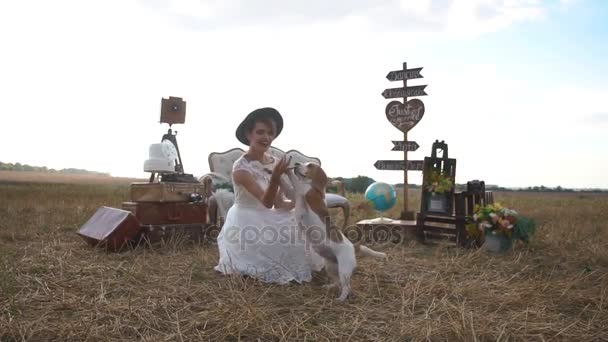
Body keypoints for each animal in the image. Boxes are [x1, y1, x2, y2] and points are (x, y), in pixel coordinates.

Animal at [288, 162, 384, 300]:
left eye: (310, 165)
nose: (296, 163)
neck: (317, 190)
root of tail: (353, 247)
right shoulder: (300, 205)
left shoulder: (306, 192)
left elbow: (297, 183)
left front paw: (286, 168)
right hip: (330, 268)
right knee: (337, 282)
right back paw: (330, 287)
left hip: (344, 270)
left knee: (347, 287)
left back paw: (341, 299)